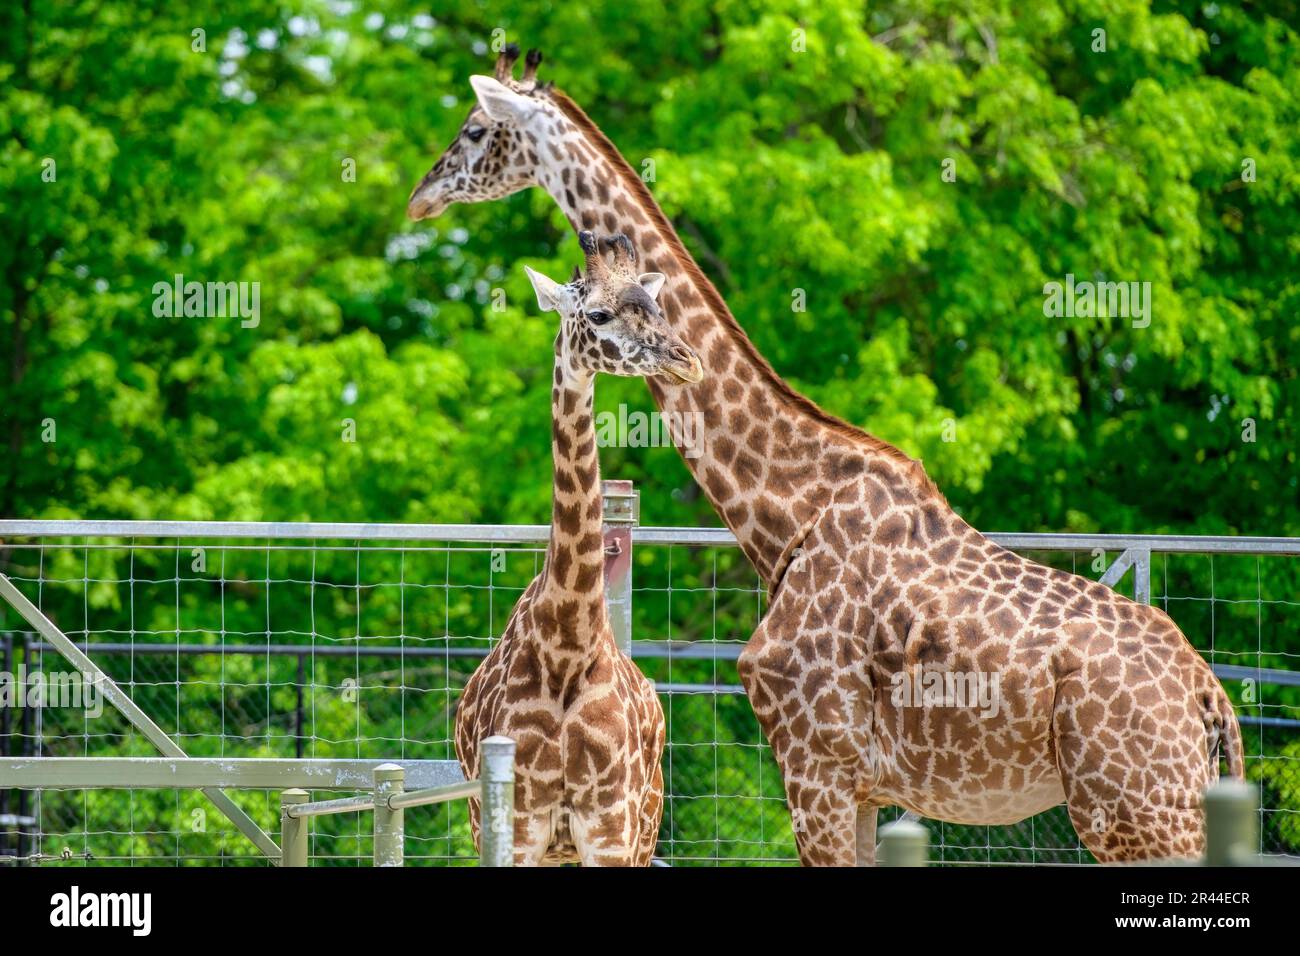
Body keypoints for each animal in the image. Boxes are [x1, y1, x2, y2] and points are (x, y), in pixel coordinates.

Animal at [457, 231, 702, 868]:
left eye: (657, 307)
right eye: (597, 314)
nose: (686, 360)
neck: (567, 643)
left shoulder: (611, 827)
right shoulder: (516, 827)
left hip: (645, 825)